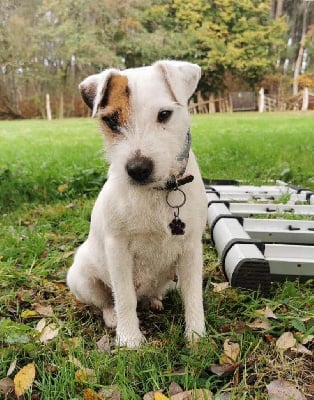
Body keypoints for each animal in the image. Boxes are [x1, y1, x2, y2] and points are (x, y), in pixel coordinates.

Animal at [67, 60, 207, 346]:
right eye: (111, 120)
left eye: (164, 114)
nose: (138, 169)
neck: (157, 192)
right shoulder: (118, 250)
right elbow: (124, 297)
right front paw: (130, 339)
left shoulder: (190, 249)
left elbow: (193, 296)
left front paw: (196, 336)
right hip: (82, 278)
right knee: (107, 301)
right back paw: (113, 318)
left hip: (169, 278)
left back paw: (154, 300)